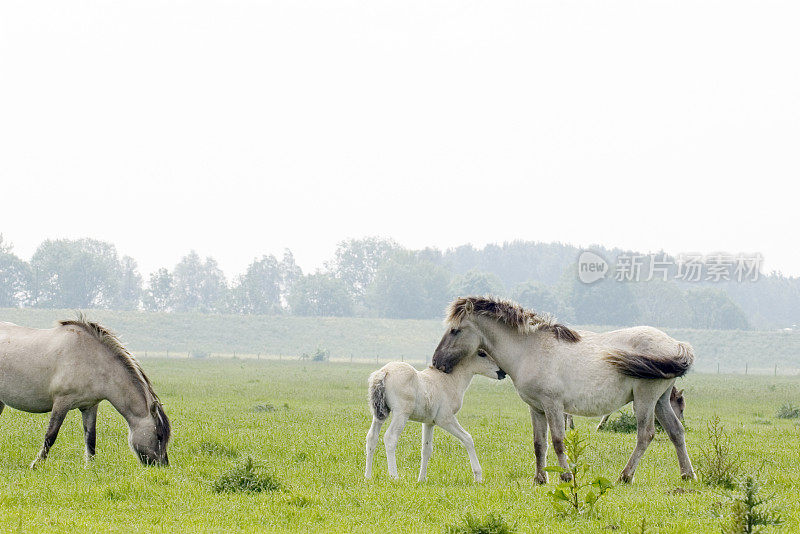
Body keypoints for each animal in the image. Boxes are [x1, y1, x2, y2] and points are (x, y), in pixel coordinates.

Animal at [0, 316, 170, 472]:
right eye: (159, 436)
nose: (163, 466)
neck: (92, 360)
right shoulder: (61, 403)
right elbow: (50, 435)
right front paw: (36, 465)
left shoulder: (90, 407)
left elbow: (91, 438)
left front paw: (90, 467)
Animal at [364, 350, 506, 484]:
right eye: (482, 354)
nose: (502, 372)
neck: (450, 380)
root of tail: (384, 372)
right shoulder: (445, 419)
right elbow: (467, 439)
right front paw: (478, 477)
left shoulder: (429, 423)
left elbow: (426, 449)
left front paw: (421, 479)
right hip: (401, 414)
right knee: (390, 437)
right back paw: (394, 477)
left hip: (379, 415)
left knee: (372, 437)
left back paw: (368, 476)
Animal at [432, 298, 692, 486]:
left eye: (455, 330)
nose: (436, 362)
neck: (529, 349)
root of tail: (674, 344)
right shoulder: (536, 408)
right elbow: (539, 443)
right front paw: (540, 478)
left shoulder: (553, 405)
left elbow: (558, 441)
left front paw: (566, 476)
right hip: (660, 401)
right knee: (676, 432)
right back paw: (687, 474)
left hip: (644, 400)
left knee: (645, 435)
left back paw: (626, 475)